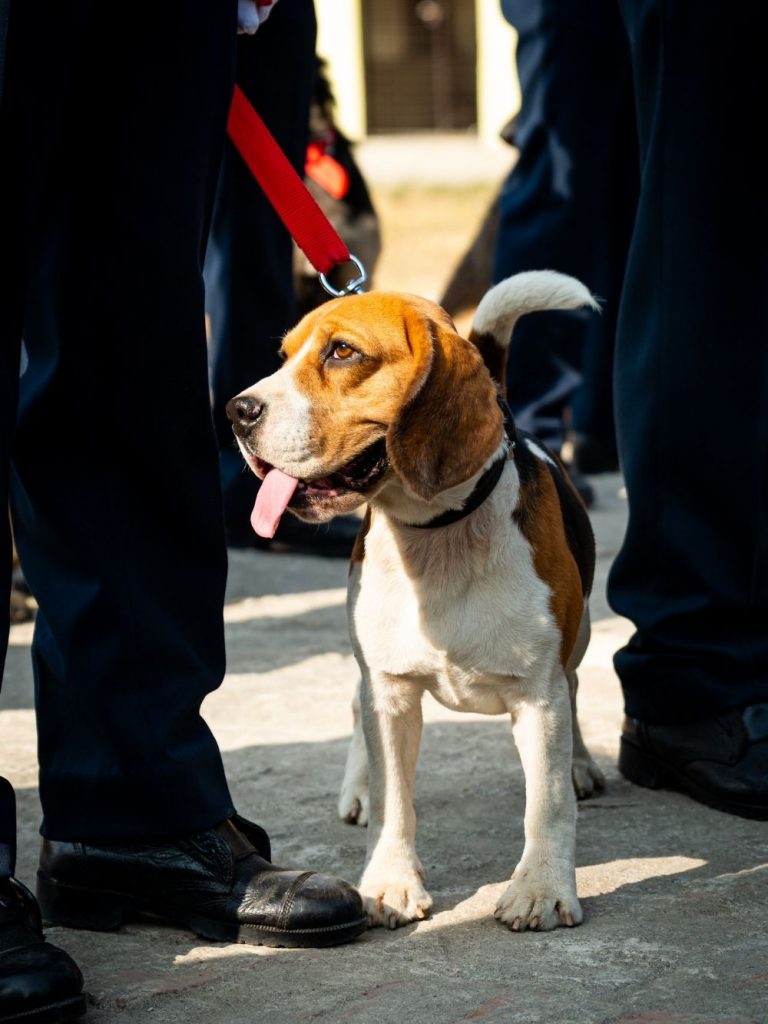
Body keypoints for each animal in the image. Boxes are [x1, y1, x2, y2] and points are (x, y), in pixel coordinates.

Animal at [227, 272, 606, 937]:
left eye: (342, 352)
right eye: (285, 356)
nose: (236, 412)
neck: (437, 537)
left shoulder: (540, 694)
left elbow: (548, 802)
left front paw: (540, 887)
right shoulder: (390, 690)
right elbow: (393, 801)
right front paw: (389, 882)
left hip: (578, 640)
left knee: (577, 693)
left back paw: (581, 763)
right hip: (368, 664)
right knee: (356, 714)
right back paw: (356, 787)